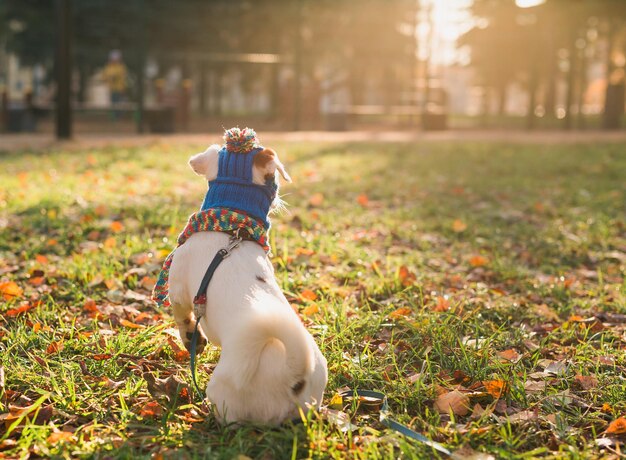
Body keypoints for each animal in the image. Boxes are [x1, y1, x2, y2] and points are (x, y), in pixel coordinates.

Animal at [166, 143, 326, 424]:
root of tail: (295, 377)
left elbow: (183, 318)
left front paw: (191, 339)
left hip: (225, 392)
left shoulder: (178, 290)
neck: (231, 229)